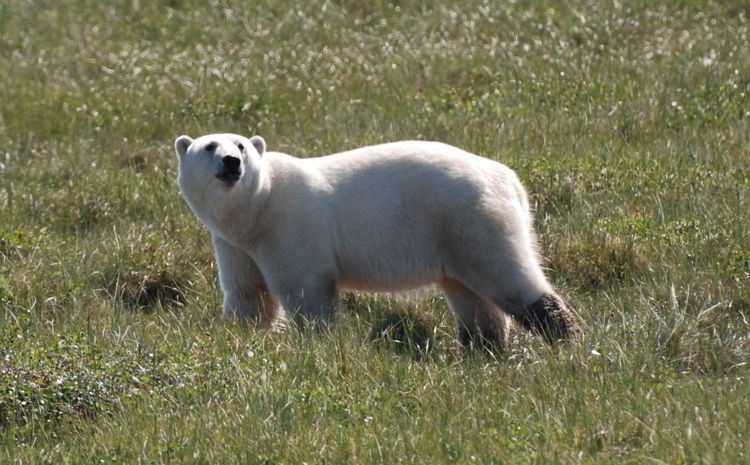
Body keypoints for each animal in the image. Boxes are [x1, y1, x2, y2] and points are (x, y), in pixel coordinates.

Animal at [175, 132, 580, 346]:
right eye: (209, 146)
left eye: (241, 145)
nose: (231, 162)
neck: (260, 206)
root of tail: (510, 179)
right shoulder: (234, 244)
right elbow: (247, 294)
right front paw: (242, 336)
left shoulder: (290, 226)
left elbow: (304, 290)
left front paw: (314, 342)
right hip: (458, 233)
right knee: (470, 295)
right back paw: (482, 344)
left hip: (471, 217)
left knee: (506, 277)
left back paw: (565, 334)